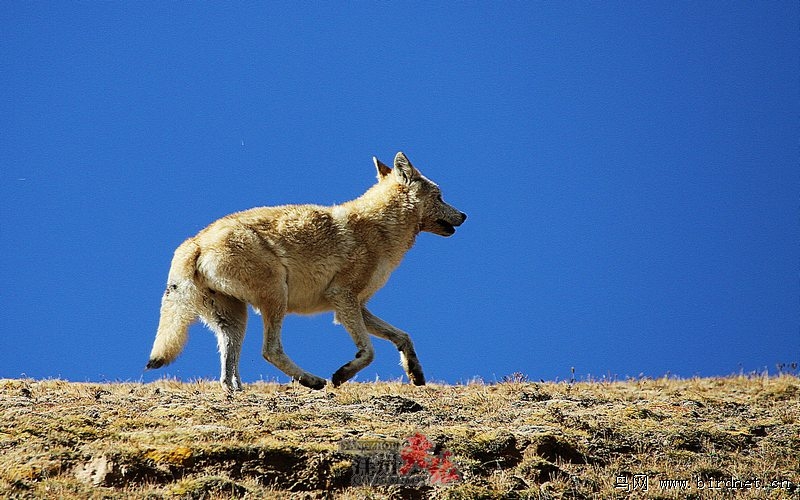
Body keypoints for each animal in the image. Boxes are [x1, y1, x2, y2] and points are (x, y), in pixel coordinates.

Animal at [147, 152, 466, 390]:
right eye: (440, 196)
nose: (465, 215)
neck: (381, 228)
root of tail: (195, 241)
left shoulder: (354, 305)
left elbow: (403, 336)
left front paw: (415, 373)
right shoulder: (343, 297)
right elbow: (369, 352)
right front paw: (342, 375)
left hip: (237, 319)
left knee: (228, 374)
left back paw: (240, 392)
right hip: (276, 297)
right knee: (270, 350)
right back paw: (311, 380)